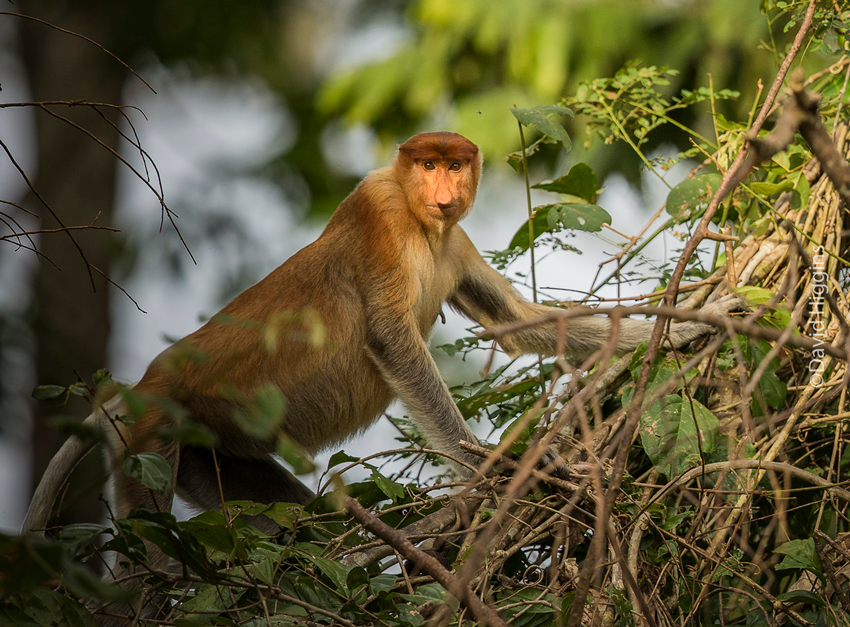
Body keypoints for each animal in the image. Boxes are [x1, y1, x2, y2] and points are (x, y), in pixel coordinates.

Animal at [22, 132, 739, 623]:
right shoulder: (381, 217)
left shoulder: (453, 245)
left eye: (455, 163)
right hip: (149, 440)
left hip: (203, 450)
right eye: (426, 164)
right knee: (147, 554)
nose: (444, 188)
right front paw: (489, 470)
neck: (424, 225)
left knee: (293, 524)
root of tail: (136, 389)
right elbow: (393, 340)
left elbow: (518, 324)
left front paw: (706, 319)